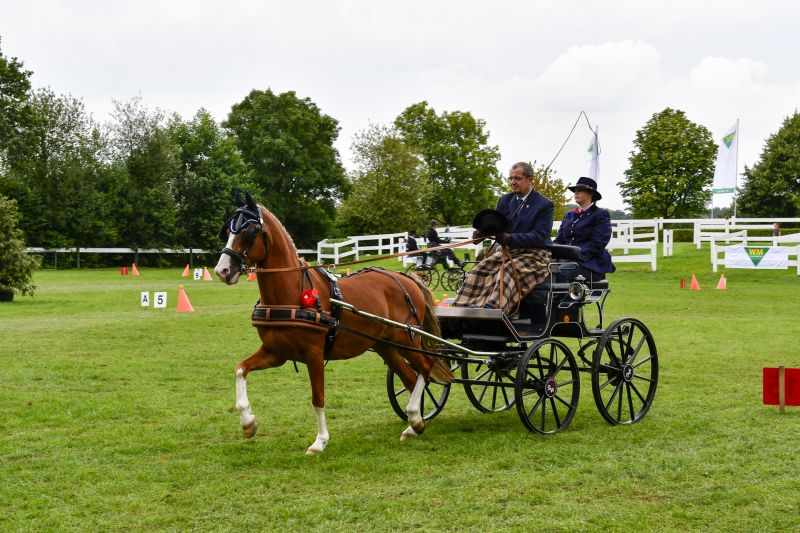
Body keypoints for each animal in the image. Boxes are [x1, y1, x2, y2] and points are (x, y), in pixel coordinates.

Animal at [214, 192, 453, 455]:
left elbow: (317, 398)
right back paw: (414, 424)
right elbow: (240, 369)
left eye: (249, 231)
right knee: (411, 378)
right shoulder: (276, 352)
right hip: (386, 346)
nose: (222, 270)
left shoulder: (314, 353)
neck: (291, 294)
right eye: (227, 231)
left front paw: (320, 442)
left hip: (407, 339)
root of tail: (406, 279)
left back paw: (414, 417)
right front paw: (248, 423)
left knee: (425, 367)